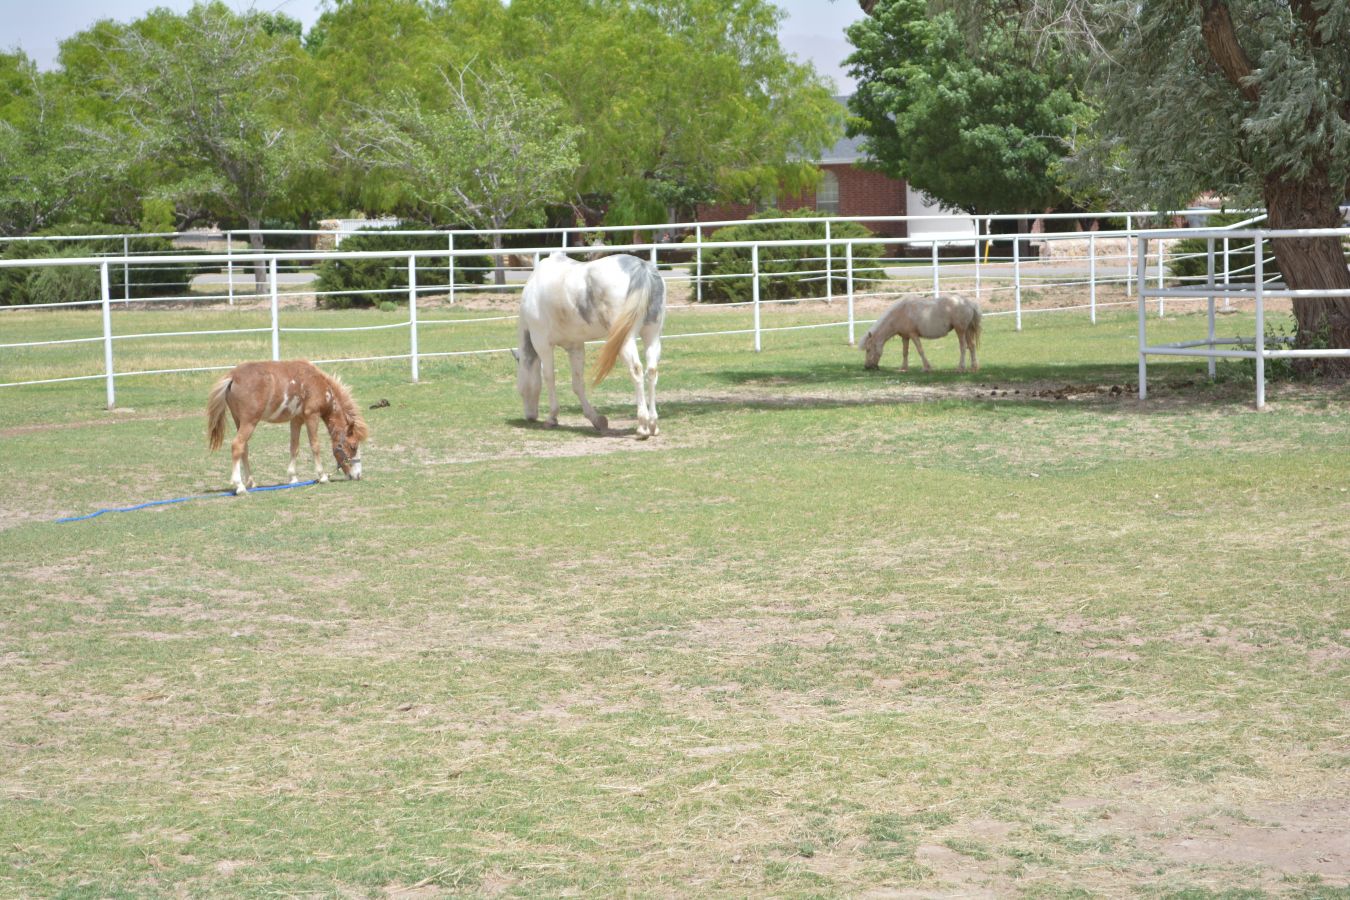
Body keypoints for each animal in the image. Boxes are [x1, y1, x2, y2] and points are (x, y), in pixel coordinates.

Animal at [206, 358, 367, 496]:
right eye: (353, 446)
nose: (358, 475)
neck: (318, 383)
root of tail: (232, 376)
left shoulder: (296, 420)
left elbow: (294, 447)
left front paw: (293, 478)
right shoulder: (312, 416)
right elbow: (315, 446)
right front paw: (322, 476)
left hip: (239, 421)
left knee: (244, 448)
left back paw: (251, 482)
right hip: (249, 422)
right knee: (237, 445)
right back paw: (239, 486)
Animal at [515, 249, 664, 439]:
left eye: (520, 388)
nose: (530, 417)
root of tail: (642, 269)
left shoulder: (542, 344)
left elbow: (549, 377)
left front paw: (552, 418)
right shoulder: (575, 347)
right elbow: (578, 384)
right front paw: (597, 420)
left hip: (626, 341)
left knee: (636, 371)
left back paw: (643, 426)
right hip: (652, 336)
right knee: (651, 371)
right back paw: (653, 424)